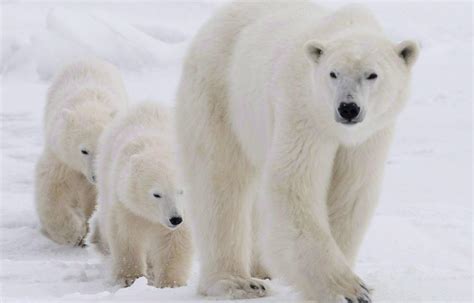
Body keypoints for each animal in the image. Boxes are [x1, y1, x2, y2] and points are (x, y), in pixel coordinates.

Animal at [35, 58, 128, 247]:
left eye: (102, 148)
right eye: (84, 150)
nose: (95, 177)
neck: (89, 104)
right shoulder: (61, 156)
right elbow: (51, 188)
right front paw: (74, 233)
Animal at [87, 102, 193, 290]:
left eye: (181, 191)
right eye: (156, 194)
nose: (175, 219)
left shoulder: (186, 211)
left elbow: (176, 241)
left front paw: (170, 283)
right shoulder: (126, 203)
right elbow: (126, 234)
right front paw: (130, 278)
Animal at [175, 1, 418, 302]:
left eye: (372, 74)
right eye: (333, 73)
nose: (348, 108)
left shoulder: (370, 136)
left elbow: (351, 192)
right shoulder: (303, 111)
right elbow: (293, 185)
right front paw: (349, 289)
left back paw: (262, 268)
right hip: (220, 93)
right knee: (220, 181)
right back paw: (238, 282)